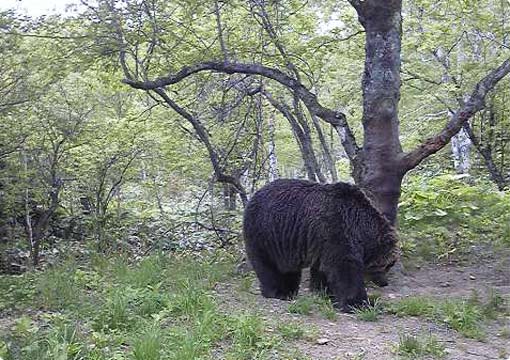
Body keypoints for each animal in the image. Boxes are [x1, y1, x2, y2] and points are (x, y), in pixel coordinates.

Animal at [243, 179, 398, 310]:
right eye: (386, 266)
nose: (385, 283)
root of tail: (254, 196)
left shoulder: (323, 241)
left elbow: (323, 270)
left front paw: (325, 293)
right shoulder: (337, 228)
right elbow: (345, 269)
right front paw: (360, 303)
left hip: (285, 242)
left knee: (289, 269)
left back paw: (289, 291)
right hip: (264, 232)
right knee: (268, 265)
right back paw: (277, 292)